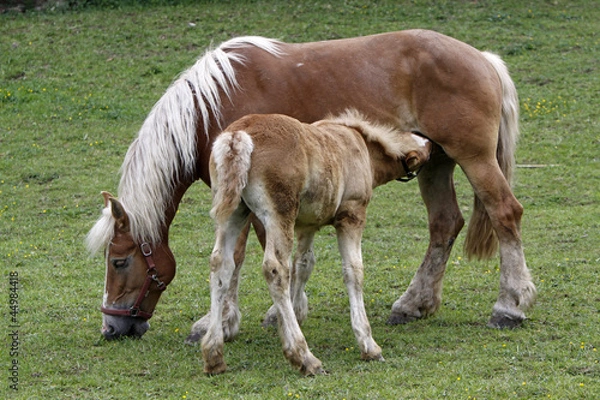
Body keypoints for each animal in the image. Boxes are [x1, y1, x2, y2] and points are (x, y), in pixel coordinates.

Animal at [86, 28, 536, 344]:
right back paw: (414, 303)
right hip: (435, 164)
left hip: (474, 159)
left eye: (119, 261)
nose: (111, 326)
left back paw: (509, 306)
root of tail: (484, 59)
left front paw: (248, 318)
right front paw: (230, 320)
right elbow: (239, 259)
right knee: (444, 225)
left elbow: (253, 256)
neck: (210, 109)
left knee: (505, 213)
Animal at [202, 110, 432, 376]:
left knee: (221, 265)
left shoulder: (308, 225)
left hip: (234, 212)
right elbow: (353, 271)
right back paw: (304, 357)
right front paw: (368, 344)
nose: (430, 143)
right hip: (279, 214)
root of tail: (239, 135)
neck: (359, 143)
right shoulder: (351, 216)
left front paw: (291, 316)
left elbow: (303, 264)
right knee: (275, 269)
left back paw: (214, 356)